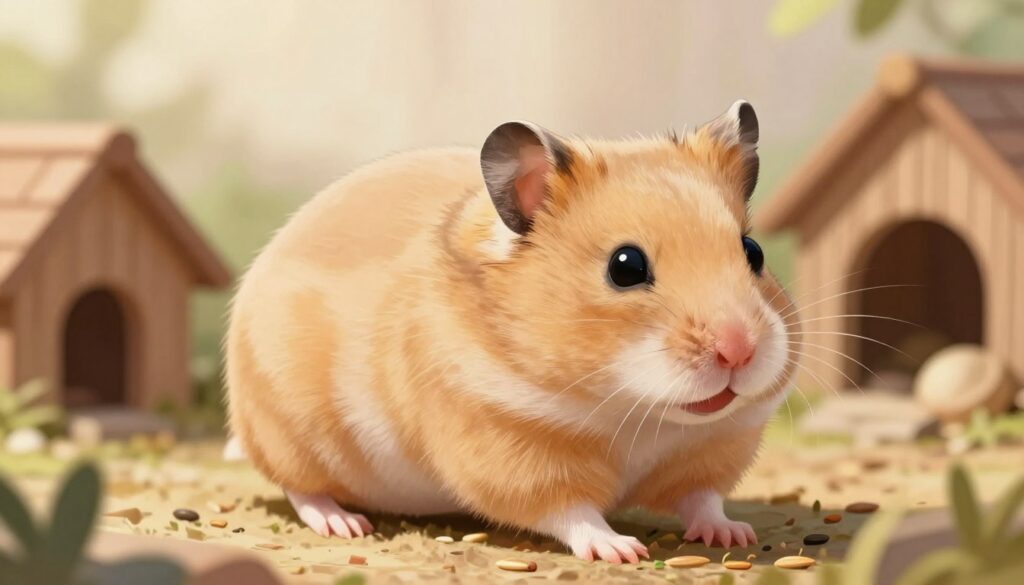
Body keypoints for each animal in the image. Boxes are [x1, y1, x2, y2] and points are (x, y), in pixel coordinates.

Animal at [226, 100, 796, 564]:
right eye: (626, 266)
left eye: (753, 252)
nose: (739, 351)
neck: (636, 415)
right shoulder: (510, 451)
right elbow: (571, 512)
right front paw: (621, 549)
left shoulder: (712, 448)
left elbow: (703, 499)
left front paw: (734, 534)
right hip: (290, 432)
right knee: (299, 487)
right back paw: (344, 524)